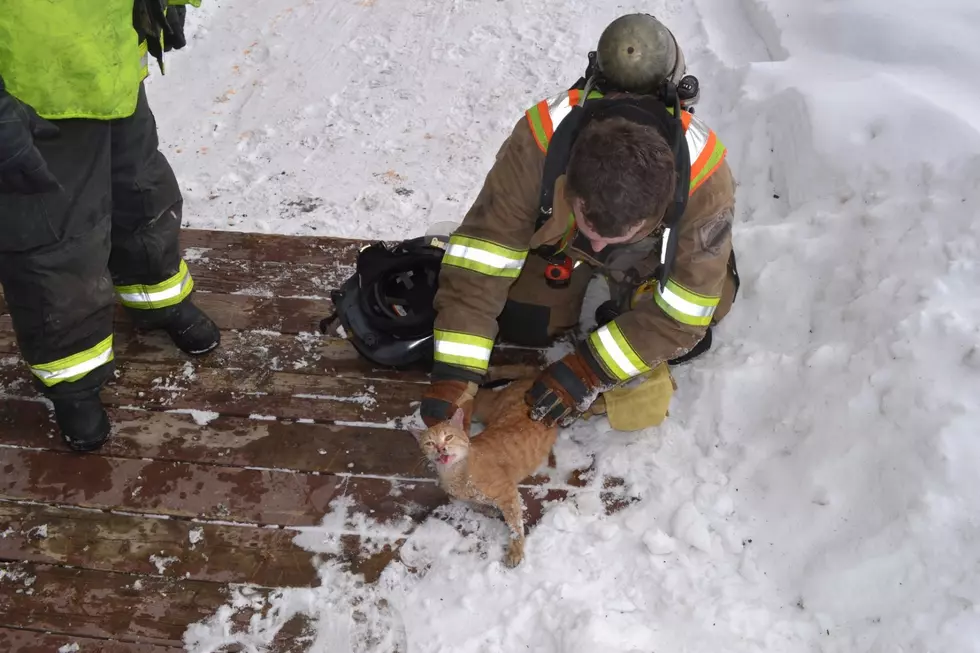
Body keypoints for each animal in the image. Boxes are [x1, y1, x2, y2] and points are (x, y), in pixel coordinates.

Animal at [412, 376, 556, 564]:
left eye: (448, 437)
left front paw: (515, 550)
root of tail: (532, 378)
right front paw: (487, 508)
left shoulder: (508, 491)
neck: (457, 474)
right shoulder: (456, 496)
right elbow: (466, 502)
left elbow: (515, 526)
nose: (440, 448)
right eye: (429, 443)